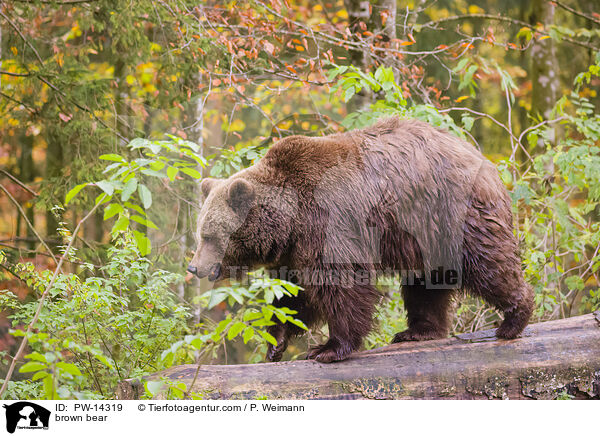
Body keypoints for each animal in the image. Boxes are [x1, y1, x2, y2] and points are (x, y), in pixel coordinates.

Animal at [189, 117, 536, 362]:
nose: (194, 267)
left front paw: (328, 348)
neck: (291, 219)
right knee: (425, 283)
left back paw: (513, 319)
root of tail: (483, 160)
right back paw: (418, 331)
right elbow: (293, 295)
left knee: (487, 263)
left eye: (210, 235)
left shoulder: (332, 223)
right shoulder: (295, 250)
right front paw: (276, 342)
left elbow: (343, 285)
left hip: (450, 214)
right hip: (424, 234)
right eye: (200, 233)